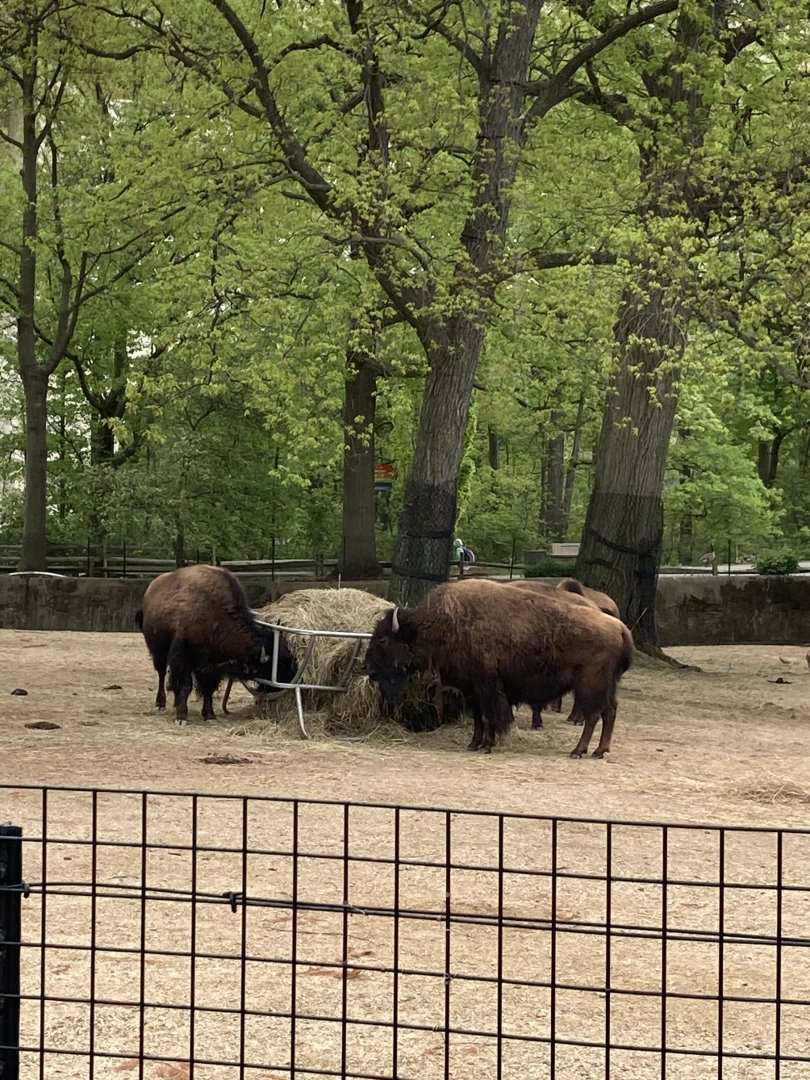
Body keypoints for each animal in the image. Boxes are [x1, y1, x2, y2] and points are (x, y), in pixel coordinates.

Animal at [135, 565, 296, 725]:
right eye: (273, 666)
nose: (287, 681)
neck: (215, 613)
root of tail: (151, 589)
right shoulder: (183, 657)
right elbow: (185, 686)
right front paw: (181, 717)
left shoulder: (211, 665)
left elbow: (208, 688)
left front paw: (209, 715)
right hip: (157, 651)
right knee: (162, 674)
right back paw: (160, 704)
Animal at [364, 578, 633, 758]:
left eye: (383, 640)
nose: (367, 667)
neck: (444, 623)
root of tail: (620, 627)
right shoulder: (470, 689)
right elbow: (478, 718)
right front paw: (474, 744)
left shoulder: (486, 686)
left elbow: (489, 716)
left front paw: (486, 746)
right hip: (606, 686)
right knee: (610, 711)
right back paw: (599, 751)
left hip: (590, 684)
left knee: (593, 715)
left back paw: (579, 751)